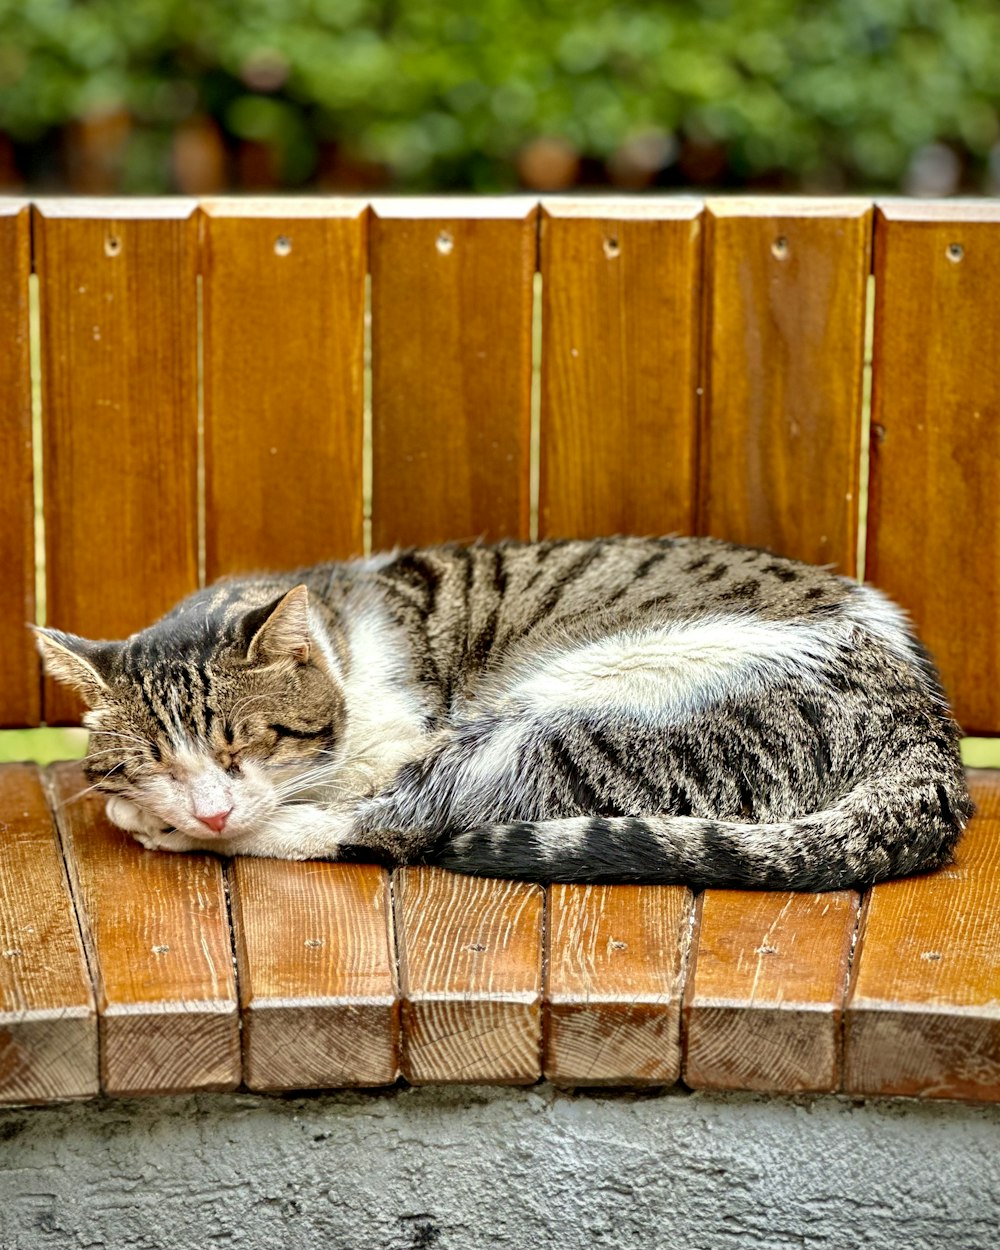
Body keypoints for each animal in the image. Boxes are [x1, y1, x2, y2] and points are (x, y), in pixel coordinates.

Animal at [35, 535, 975, 890]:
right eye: (156, 760)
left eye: (248, 746)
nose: (208, 807)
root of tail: (930, 736)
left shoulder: (399, 738)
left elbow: (339, 797)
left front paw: (164, 818)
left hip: (573, 718)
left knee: (408, 823)